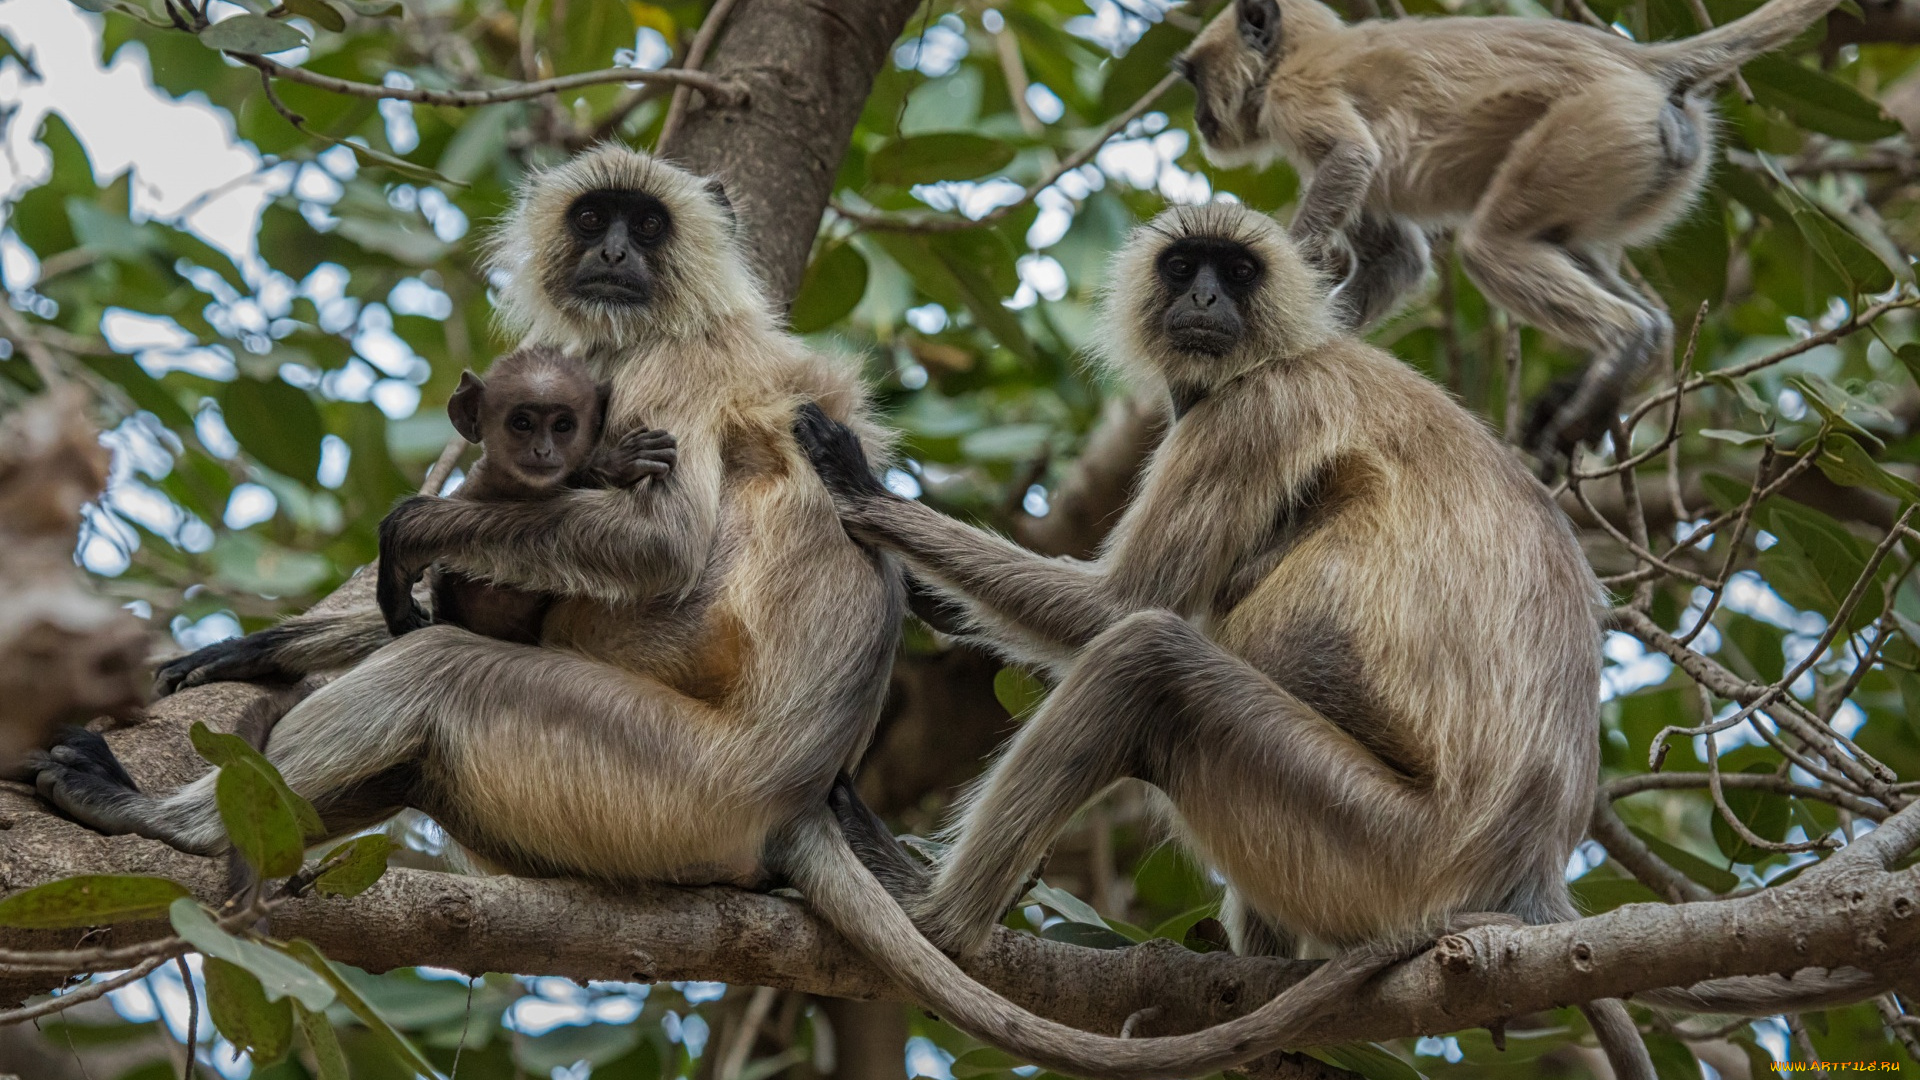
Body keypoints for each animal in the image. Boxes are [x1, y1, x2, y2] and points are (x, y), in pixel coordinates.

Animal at [798, 199, 1889, 1076]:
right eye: (1183, 266)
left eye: (1235, 271)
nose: (1205, 296)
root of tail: (1532, 872)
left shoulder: (1254, 411)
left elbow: (1113, 609)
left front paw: (863, 492)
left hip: (1378, 846)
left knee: (1148, 657)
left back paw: (930, 916)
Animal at [1175, 0, 1835, 466]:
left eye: (1195, 80)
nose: (1199, 117)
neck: (1301, 49)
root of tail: (1640, 64)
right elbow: (1397, 260)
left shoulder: (1296, 90)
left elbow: (1350, 159)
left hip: (1598, 123)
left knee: (1490, 248)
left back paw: (1625, 341)